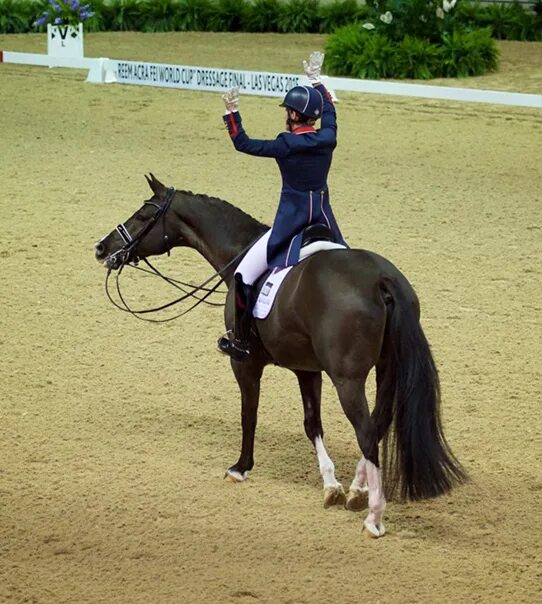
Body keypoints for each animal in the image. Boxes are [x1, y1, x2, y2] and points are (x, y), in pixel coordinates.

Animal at [93, 175, 468, 536]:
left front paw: (240, 467)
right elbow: (312, 423)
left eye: (144, 214)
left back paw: (373, 518)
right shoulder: (307, 369)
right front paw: (331, 486)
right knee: (376, 426)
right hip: (385, 371)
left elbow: (249, 414)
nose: (102, 248)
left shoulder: (244, 363)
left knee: (366, 433)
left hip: (347, 380)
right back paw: (357, 491)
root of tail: (381, 280)